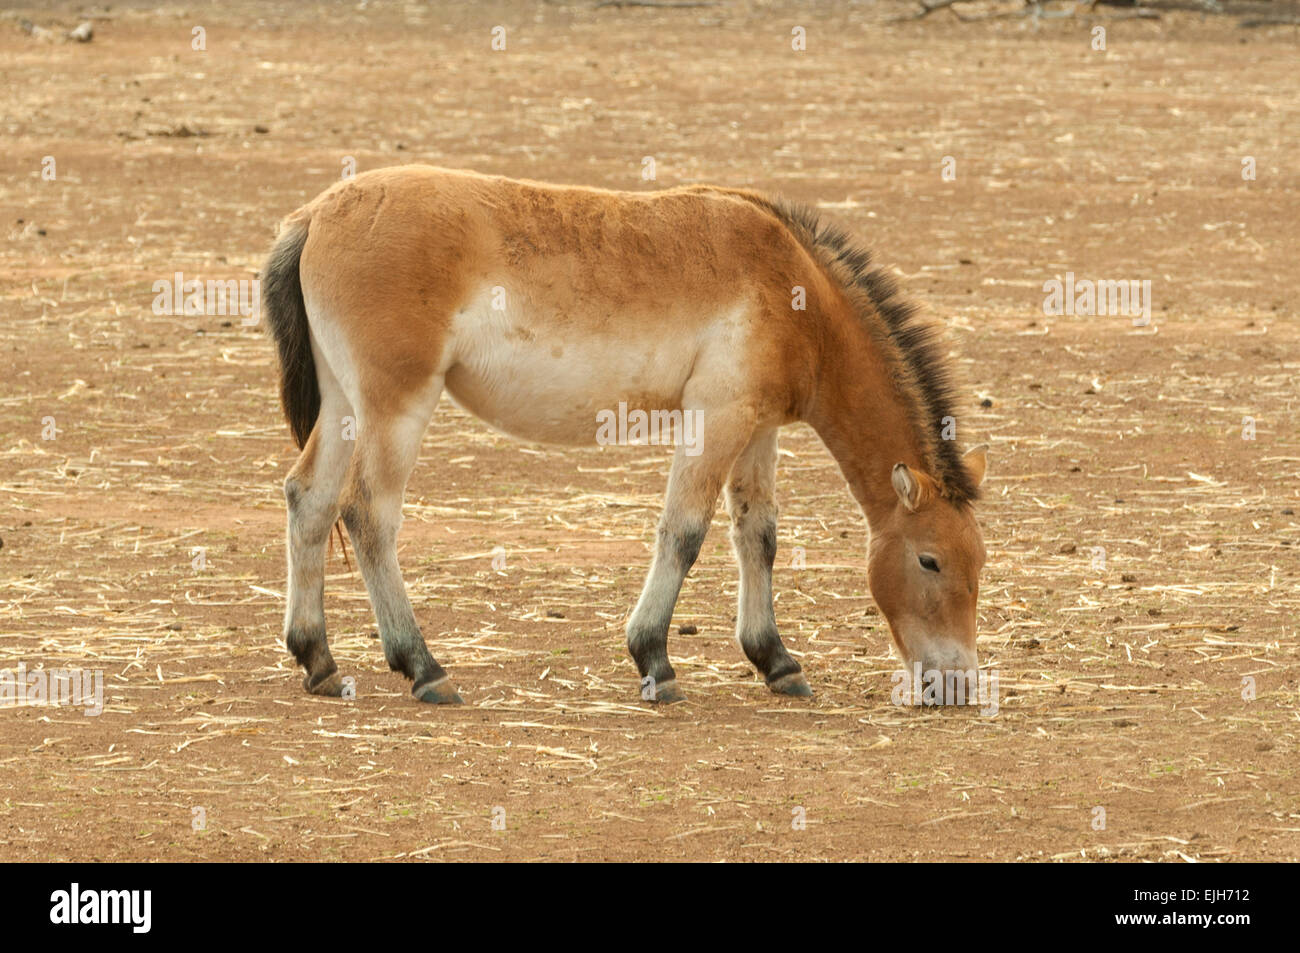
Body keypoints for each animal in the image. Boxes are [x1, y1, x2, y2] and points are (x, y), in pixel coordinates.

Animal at [261, 165, 982, 707]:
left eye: (978, 563)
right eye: (930, 560)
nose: (957, 684)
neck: (796, 291)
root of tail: (315, 217)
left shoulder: (757, 430)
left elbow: (758, 537)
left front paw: (775, 660)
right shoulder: (717, 417)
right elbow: (684, 532)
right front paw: (655, 660)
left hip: (346, 404)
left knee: (310, 500)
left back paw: (318, 659)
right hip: (396, 407)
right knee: (368, 514)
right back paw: (423, 667)